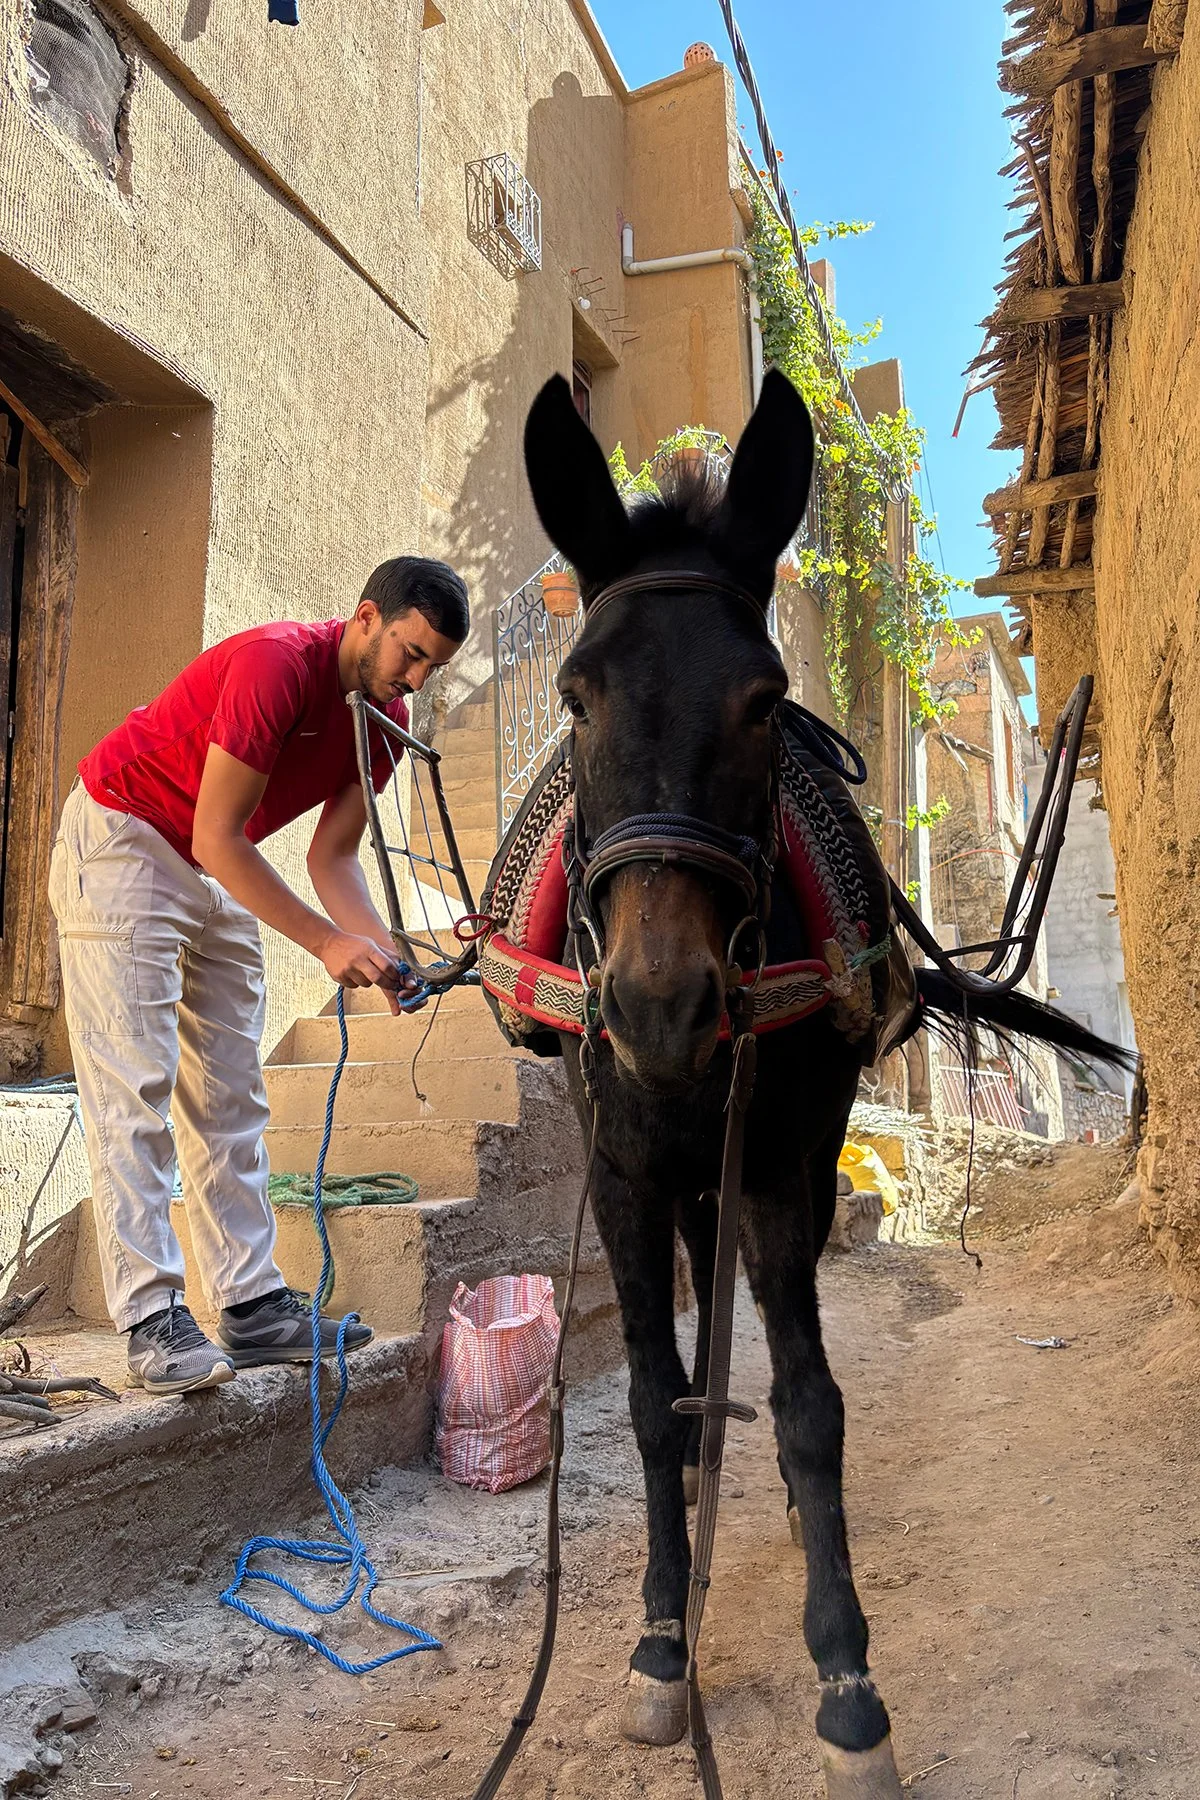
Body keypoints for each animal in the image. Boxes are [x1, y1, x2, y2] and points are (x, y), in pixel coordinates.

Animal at [515, 368, 1130, 1800]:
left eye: (764, 697)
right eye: (575, 698)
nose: (661, 1005)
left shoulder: (785, 1158)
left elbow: (809, 1403)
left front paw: (847, 1680)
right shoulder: (621, 1174)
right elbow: (647, 1401)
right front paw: (661, 1640)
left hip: (769, 1155)